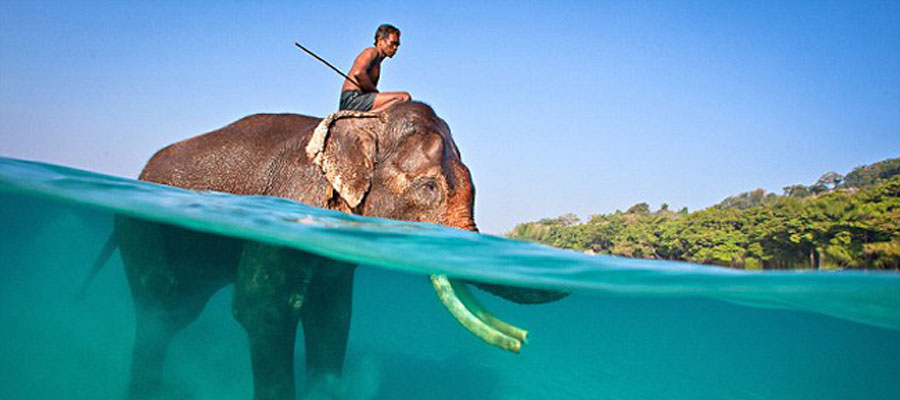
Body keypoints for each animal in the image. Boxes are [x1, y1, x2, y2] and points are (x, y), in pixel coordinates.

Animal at [93, 101, 568, 398]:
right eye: (428, 187)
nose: (524, 341)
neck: (368, 124)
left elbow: (332, 318)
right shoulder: (292, 207)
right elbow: (262, 310)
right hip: (140, 233)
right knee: (162, 314)